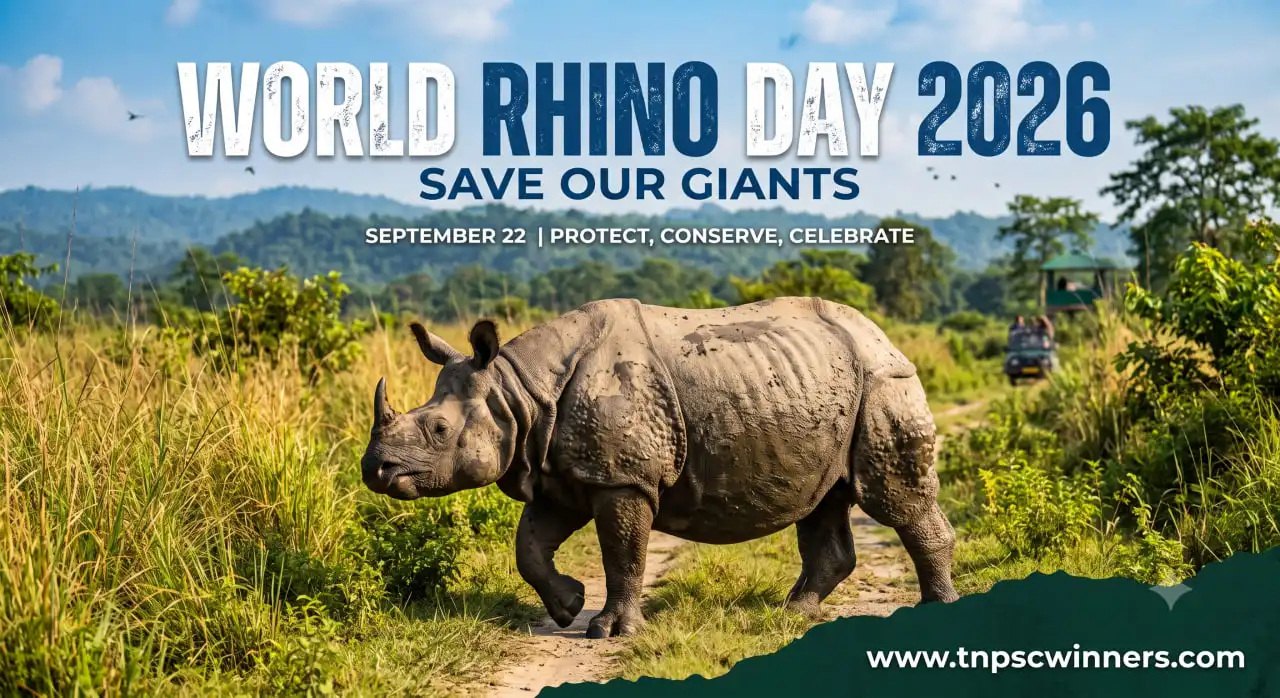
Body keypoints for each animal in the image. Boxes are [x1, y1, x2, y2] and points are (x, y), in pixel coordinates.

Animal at [361, 297, 958, 638]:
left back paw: (936, 613)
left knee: (893, 500)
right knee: (823, 499)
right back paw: (793, 615)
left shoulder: (622, 478)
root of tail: (885, 337)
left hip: (883, 382)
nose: (375, 470)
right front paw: (567, 607)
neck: (519, 393)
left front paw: (610, 632)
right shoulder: (560, 471)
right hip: (828, 388)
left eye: (439, 431)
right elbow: (529, 547)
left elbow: (623, 552)